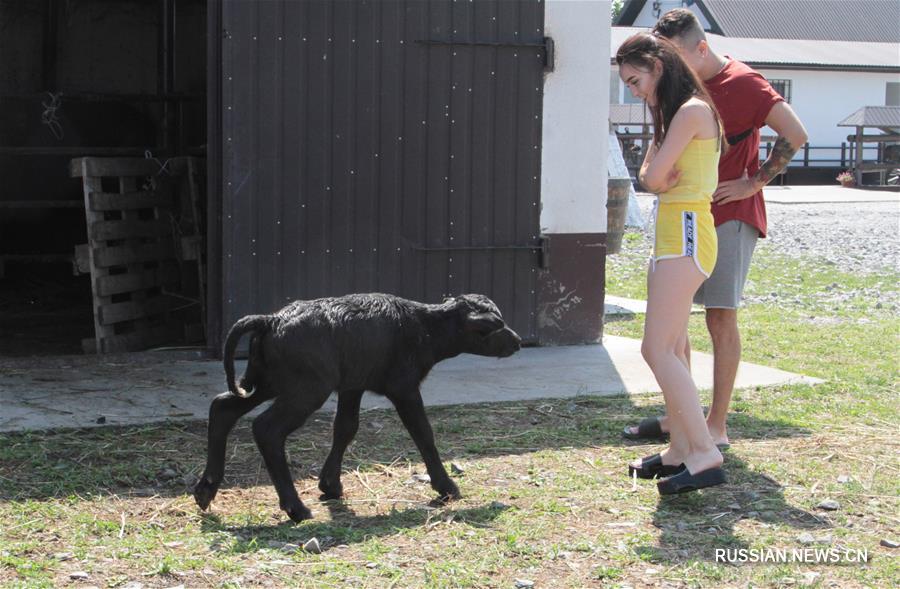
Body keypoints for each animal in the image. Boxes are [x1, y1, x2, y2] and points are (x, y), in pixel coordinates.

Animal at [196, 292, 520, 520]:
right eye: (494, 326)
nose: (517, 342)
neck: (424, 327)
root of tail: (270, 320)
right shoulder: (403, 387)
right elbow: (422, 433)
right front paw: (446, 487)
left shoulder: (353, 385)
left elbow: (346, 428)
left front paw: (330, 485)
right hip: (306, 389)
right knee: (266, 429)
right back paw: (295, 508)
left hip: (266, 381)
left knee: (223, 408)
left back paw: (206, 489)